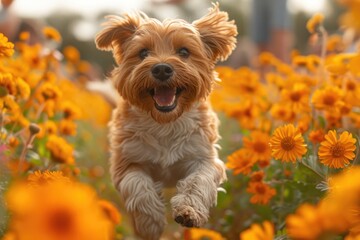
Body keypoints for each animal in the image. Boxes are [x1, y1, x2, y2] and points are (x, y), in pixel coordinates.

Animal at [94, 3, 238, 238]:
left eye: (184, 52)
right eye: (143, 53)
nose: (161, 68)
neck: (165, 122)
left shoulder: (203, 156)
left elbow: (198, 181)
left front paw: (188, 211)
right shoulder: (127, 161)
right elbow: (138, 185)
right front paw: (150, 224)